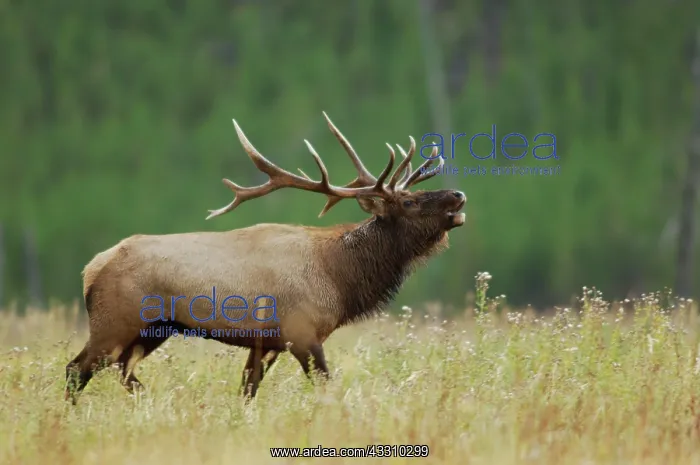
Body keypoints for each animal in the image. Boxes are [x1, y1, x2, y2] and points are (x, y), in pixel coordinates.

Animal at [64, 112, 465, 404]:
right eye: (409, 201)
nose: (459, 195)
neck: (340, 278)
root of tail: (90, 269)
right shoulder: (301, 332)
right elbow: (325, 385)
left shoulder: (266, 343)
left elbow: (247, 391)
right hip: (114, 322)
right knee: (76, 369)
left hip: (153, 330)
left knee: (121, 371)